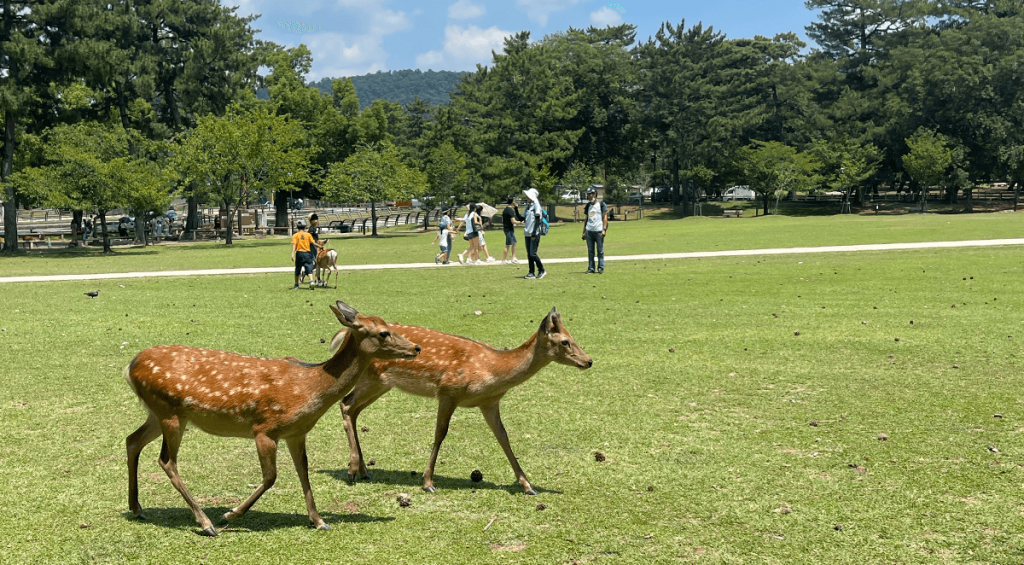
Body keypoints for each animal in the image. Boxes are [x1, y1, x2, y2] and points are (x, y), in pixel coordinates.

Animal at [124, 298, 419, 536]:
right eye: (383, 332)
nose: (416, 348)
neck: (311, 389)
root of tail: (130, 366)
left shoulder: (296, 432)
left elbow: (303, 471)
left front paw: (319, 521)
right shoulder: (265, 429)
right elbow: (270, 477)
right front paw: (230, 514)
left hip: (157, 412)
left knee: (132, 440)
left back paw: (137, 508)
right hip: (170, 413)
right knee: (167, 461)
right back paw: (206, 523)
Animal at [335, 307, 593, 497]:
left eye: (573, 338)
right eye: (565, 341)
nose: (588, 361)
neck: (493, 372)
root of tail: (345, 335)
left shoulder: (489, 402)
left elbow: (503, 438)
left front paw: (528, 486)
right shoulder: (448, 391)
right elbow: (440, 434)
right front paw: (428, 482)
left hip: (381, 384)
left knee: (352, 408)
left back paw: (364, 470)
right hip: (371, 378)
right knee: (346, 404)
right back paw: (352, 470)